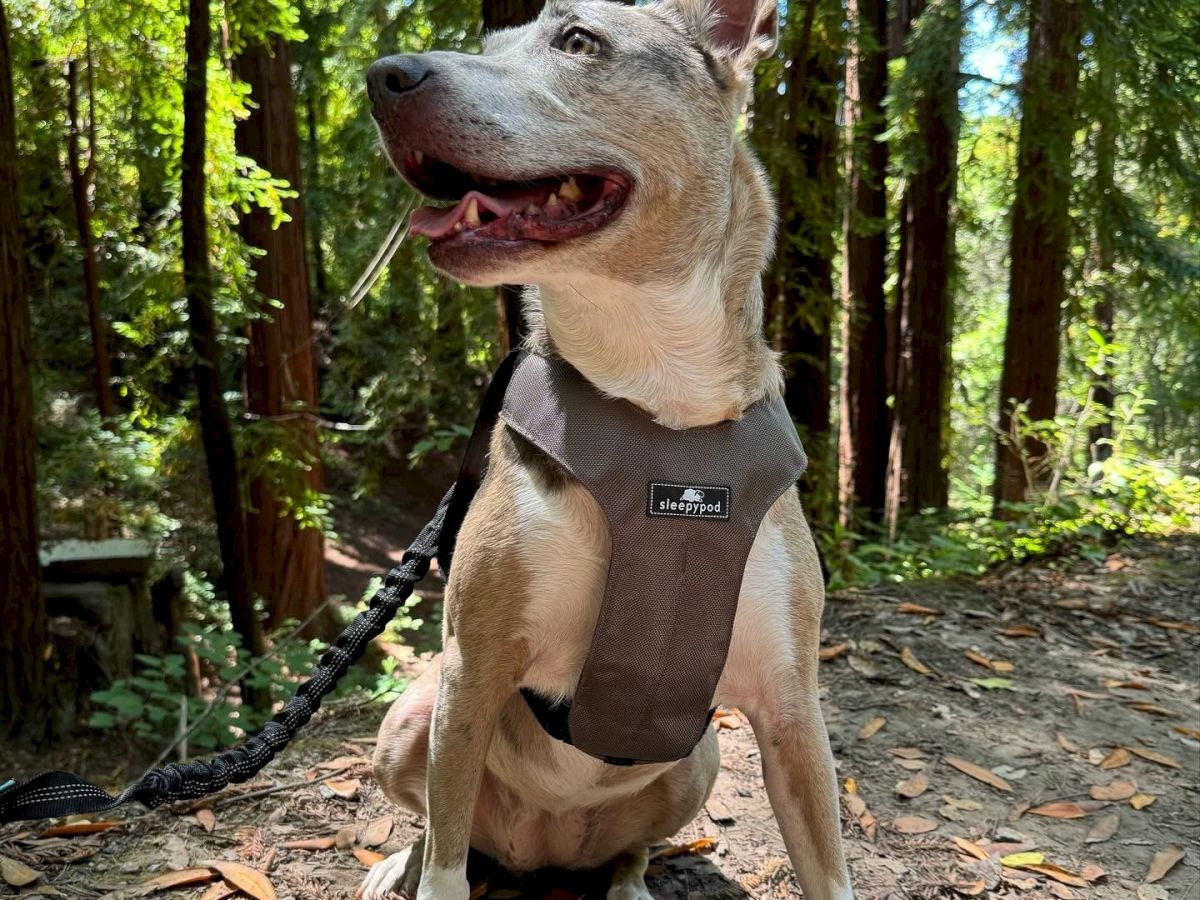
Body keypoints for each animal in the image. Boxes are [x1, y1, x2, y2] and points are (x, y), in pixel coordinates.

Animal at [357, 1, 854, 900]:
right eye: (489, 45)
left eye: (579, 40)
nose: (384, 76)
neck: (659, 400)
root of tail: (542, 850)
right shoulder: (471, 671)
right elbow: (444, 861)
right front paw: (419, 870)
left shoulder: (792, 707)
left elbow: (830, 871)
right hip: (415, 715)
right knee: (440, 828)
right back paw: (396, 867)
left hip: (699, 757)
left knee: (636, 846)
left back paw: (627, 881)